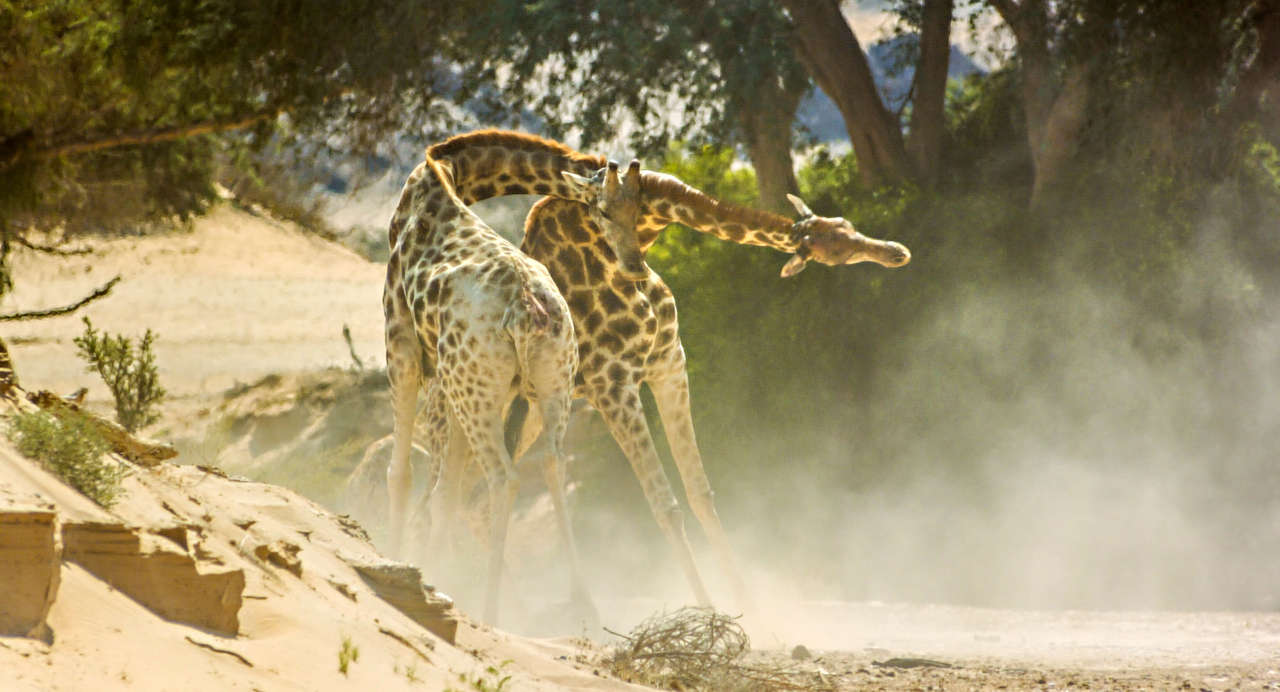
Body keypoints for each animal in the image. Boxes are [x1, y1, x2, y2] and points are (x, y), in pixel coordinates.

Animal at [380, 141, 641, 624]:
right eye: (607, 211)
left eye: (637, 209)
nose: (635, 266)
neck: (447, 173)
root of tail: (525, 308)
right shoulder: (451, 381)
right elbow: (444, 492)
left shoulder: (400, 340)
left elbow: (402, 474)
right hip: (548, 384)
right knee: (552, 464)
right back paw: (583, 605)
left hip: (477, 387)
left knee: (504, 478)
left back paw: (491, 609)